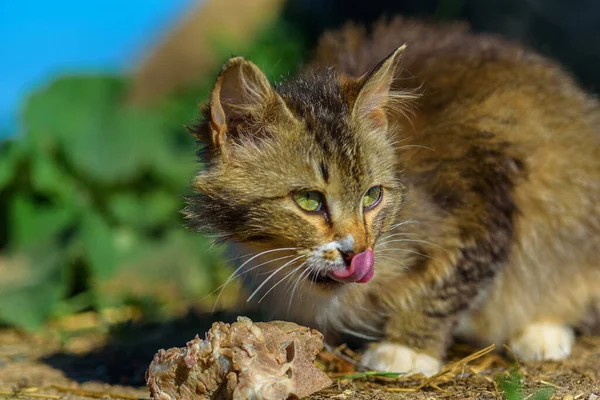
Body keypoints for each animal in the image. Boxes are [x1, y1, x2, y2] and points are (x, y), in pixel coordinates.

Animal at [184, 17, 600, 376]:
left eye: (372, 196)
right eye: (308, 201)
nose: (357, 252)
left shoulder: (484, 195)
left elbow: (448, 282)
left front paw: (408, 348)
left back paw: (541, 330)